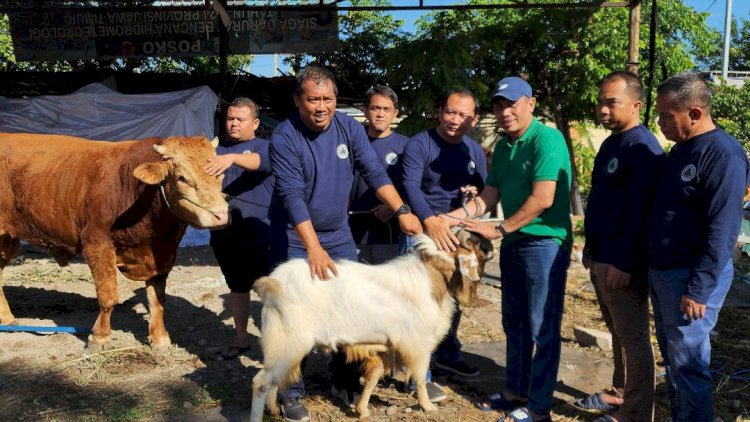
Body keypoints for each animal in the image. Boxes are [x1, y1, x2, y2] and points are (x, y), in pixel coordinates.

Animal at [0, 134, 229, 350]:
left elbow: (157, 299)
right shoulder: (96, 242)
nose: (221, 215)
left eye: (220, 175)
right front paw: (99, 337)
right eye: (182, 177)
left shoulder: (163, 254)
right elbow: (108, 296)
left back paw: (8, 319)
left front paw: (160, 338)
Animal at [250, 231, 490, 422]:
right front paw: (428, 407)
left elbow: (373, 378)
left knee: (273, 380)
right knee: (260, 382)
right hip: (290, 343)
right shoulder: (419, 345)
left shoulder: (386, 346)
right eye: (475, 246)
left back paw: (273, 409)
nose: (488, 245)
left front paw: (362, 410)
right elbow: (420, 378)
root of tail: (273, 283)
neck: (431, 278)